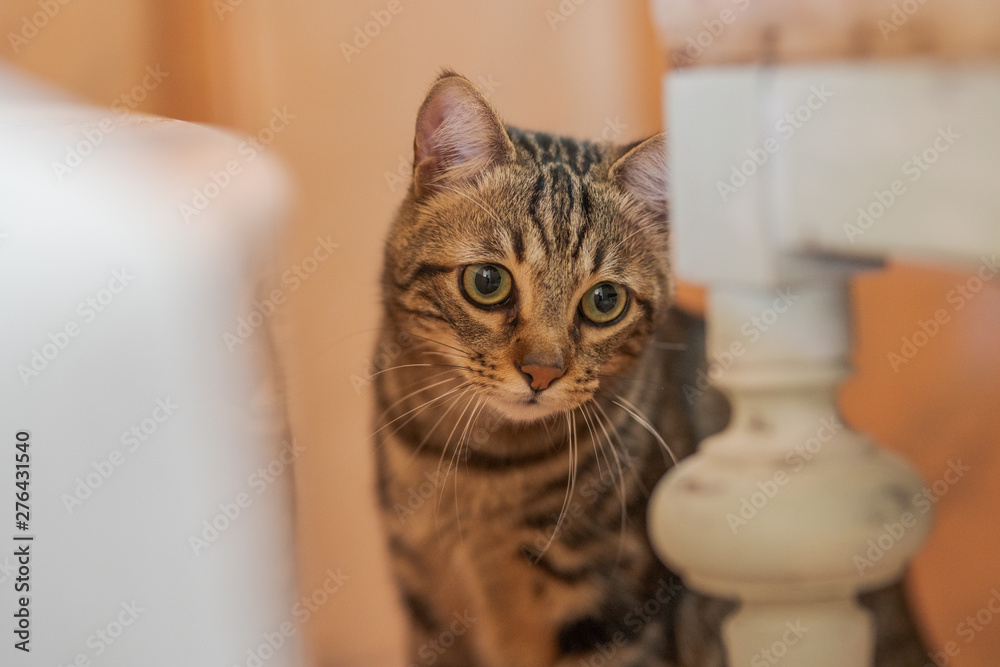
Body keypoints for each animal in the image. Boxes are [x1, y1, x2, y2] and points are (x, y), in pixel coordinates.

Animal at [372, 72, 924, 667]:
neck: (477, 471)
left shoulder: (612, 613)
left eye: (605, 300)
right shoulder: (426, 606)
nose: (542, 373)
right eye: (488, 281)